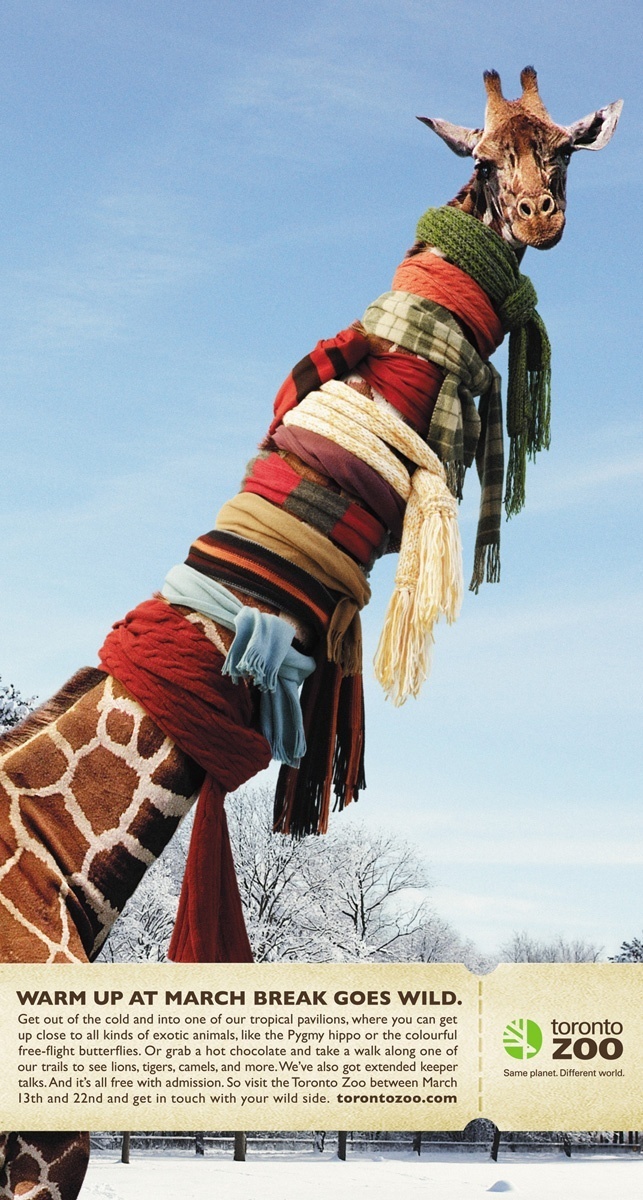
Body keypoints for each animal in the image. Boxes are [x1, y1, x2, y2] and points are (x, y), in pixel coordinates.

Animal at [0, 69, 621, 1200]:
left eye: (564, 151)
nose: (535, 216)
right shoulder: (33, 1162)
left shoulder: (50, 1162)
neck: (57, 863)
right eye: (482, 161)